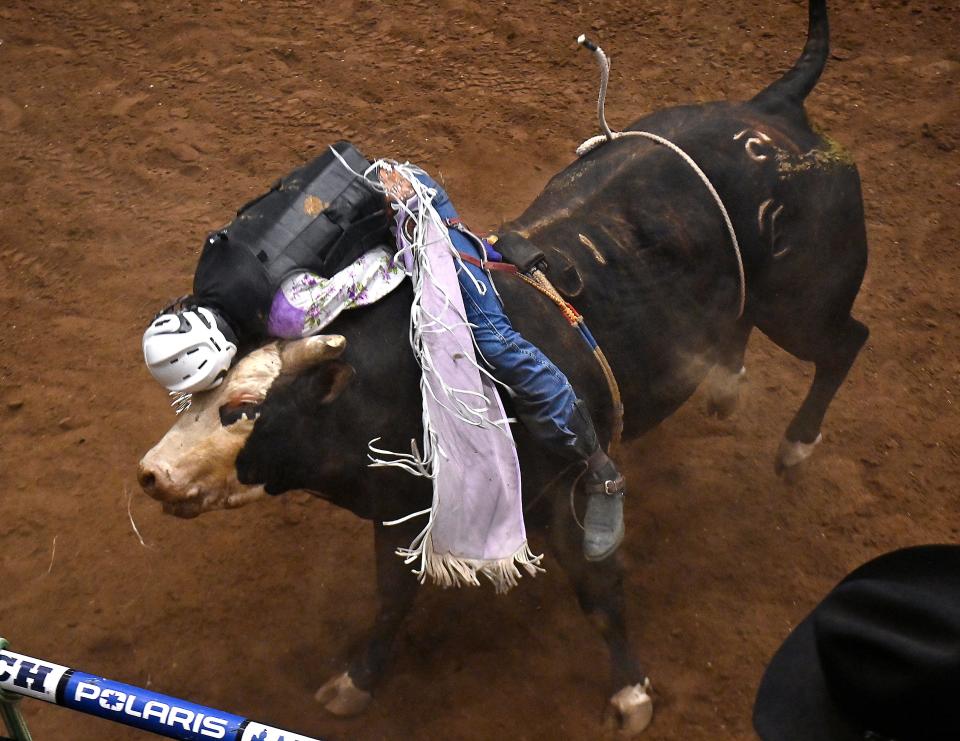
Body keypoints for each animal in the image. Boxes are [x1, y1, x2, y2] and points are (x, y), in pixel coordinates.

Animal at [137, 2, 872, 736]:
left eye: (241, 410)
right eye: (195, 403)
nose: (153, 473)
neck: (412, 384)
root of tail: (771, 110)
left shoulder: (567, 499)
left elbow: (599, 592)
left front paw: (631, 692)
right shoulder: (400, 512)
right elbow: (392, 599)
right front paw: (355, 680)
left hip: (804, 303)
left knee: (845, 344)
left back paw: (795, 447)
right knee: (741, 326)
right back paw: (725, 384)